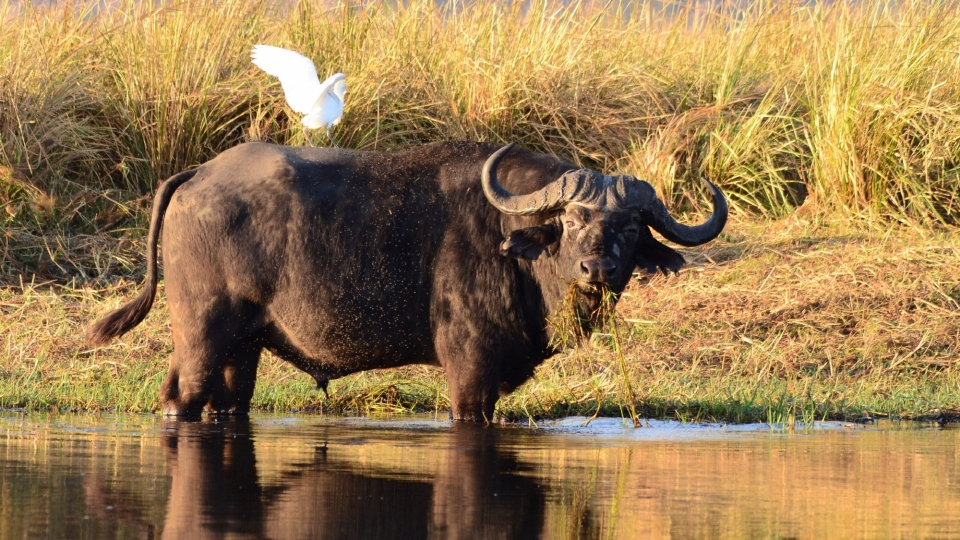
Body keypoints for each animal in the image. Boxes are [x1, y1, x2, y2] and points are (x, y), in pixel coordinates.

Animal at [88, 141, 728, 420]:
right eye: (571, 220)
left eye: (629, 226)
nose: (598, 269)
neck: (513, 249)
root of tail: (200, 174)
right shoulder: (469, 369)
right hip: (201, 332)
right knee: (180, 397)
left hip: (241, 347)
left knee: (229, 401)